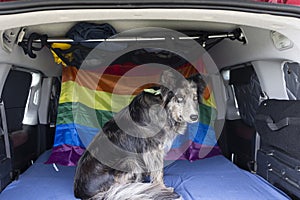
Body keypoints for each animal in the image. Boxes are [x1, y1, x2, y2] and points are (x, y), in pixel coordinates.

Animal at [73, 70, 203, 200]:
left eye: (195, 98)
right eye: (180, 99)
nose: (195, 117)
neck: (164, 108)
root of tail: (81, 193)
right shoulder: (153, 150)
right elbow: (158, 173)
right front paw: (162, 188)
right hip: (130, 161)